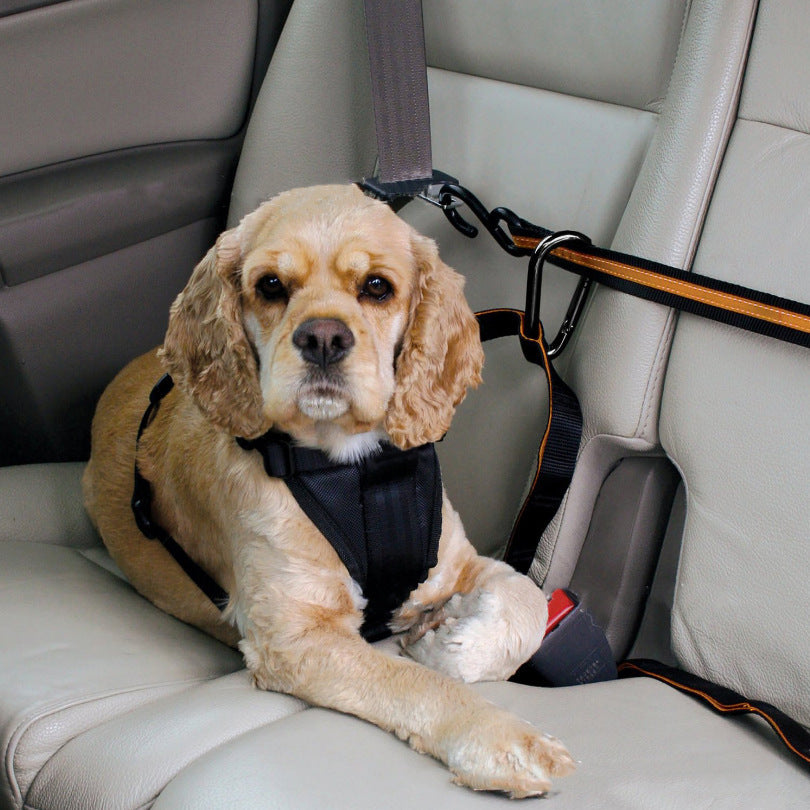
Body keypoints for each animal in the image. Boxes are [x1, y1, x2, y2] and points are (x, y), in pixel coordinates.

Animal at [83, 185, 576, 796]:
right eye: (270, 285)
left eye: (377, 286)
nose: (323, 338)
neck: (350, 467)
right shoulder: (296, 639)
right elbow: (409, 682)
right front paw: (504, 739)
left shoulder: (456, 562)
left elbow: (527, 599)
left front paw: (452, 645)